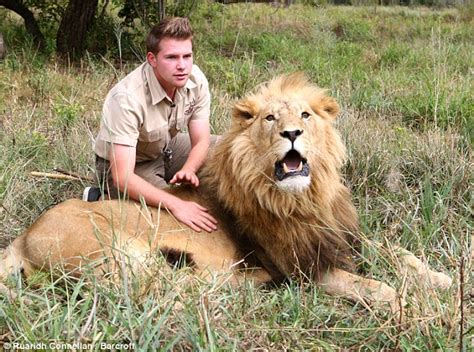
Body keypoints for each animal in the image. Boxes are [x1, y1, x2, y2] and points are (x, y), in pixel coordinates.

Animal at [0, 73, 452, 310]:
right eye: (271, 119)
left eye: (305, 115)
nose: (292, 133)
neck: (303, 199)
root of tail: (21, 238)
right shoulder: (301, 268)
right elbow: (373, 286)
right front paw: (407, 303)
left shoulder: (341, 238)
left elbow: (398, 253)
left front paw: (440, 279)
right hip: (115, 251)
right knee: (162, 292)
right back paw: (250, 281)